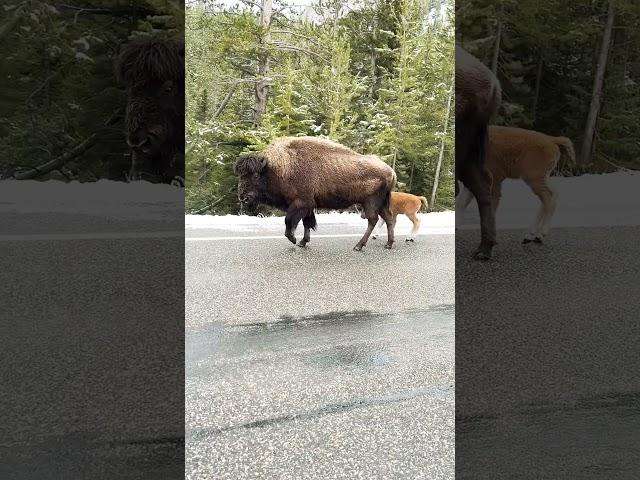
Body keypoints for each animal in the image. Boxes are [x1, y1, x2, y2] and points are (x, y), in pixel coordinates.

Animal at [232, 137, 398, 251]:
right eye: (240, 175)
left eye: (255, 175)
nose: (243, 197)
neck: (276, 168)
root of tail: (391, 171)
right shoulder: (308, 206)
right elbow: (307, 223)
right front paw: (302, 242)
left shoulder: (300, 203)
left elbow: (289, 221)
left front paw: (293, 239)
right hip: (381, 203)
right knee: (388, 219)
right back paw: (388, 244)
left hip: (370, 202)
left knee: (373, 220)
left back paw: (358, 246)